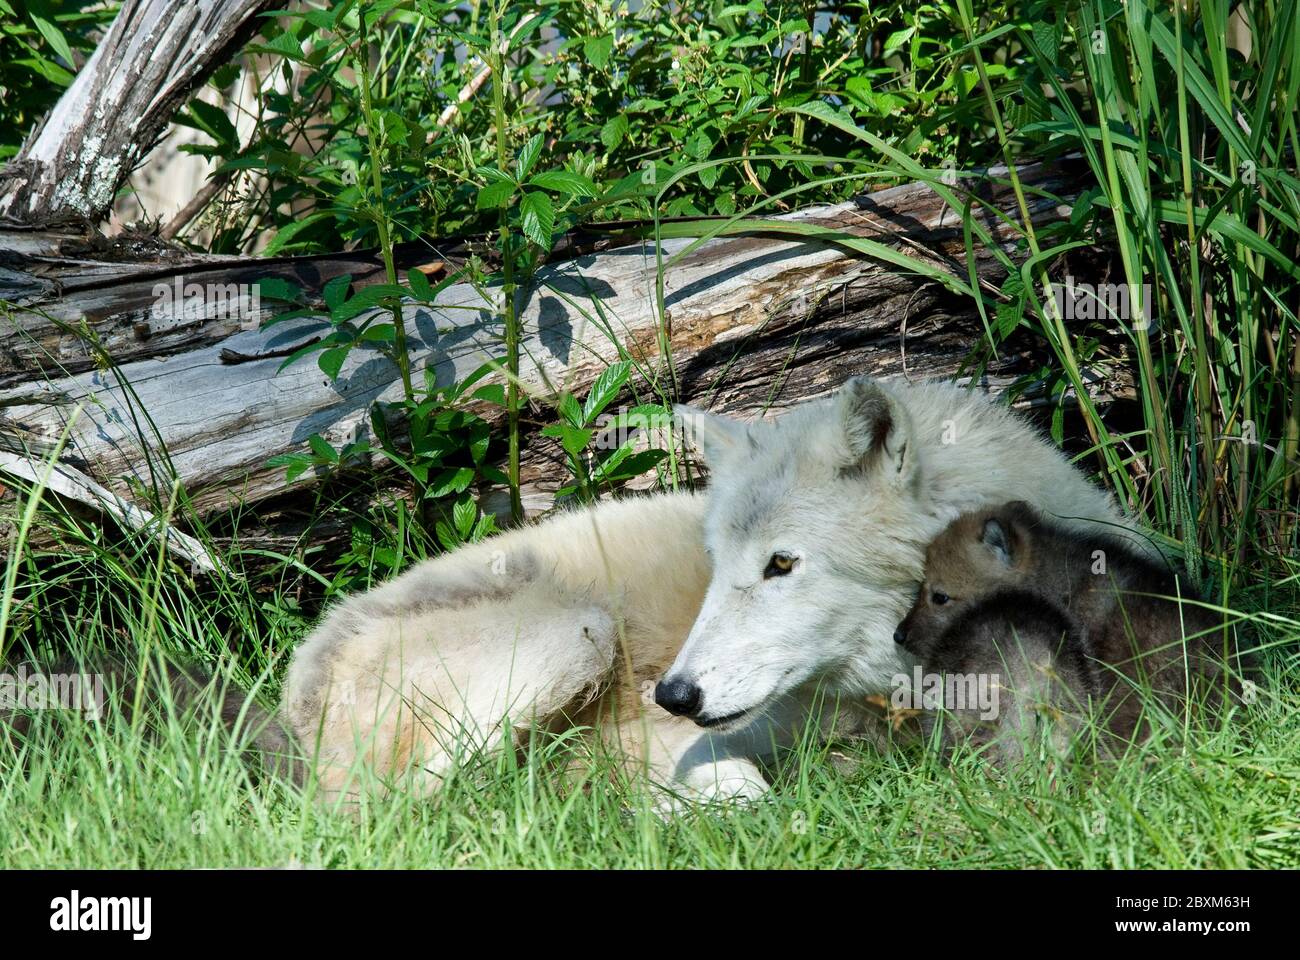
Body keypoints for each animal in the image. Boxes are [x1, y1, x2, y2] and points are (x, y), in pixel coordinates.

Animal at [282, 374, 1128, 801]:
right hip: (576, 631)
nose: (675, 695)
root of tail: (303, 679)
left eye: (780, 564)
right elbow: (738, 782)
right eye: (719, 563)